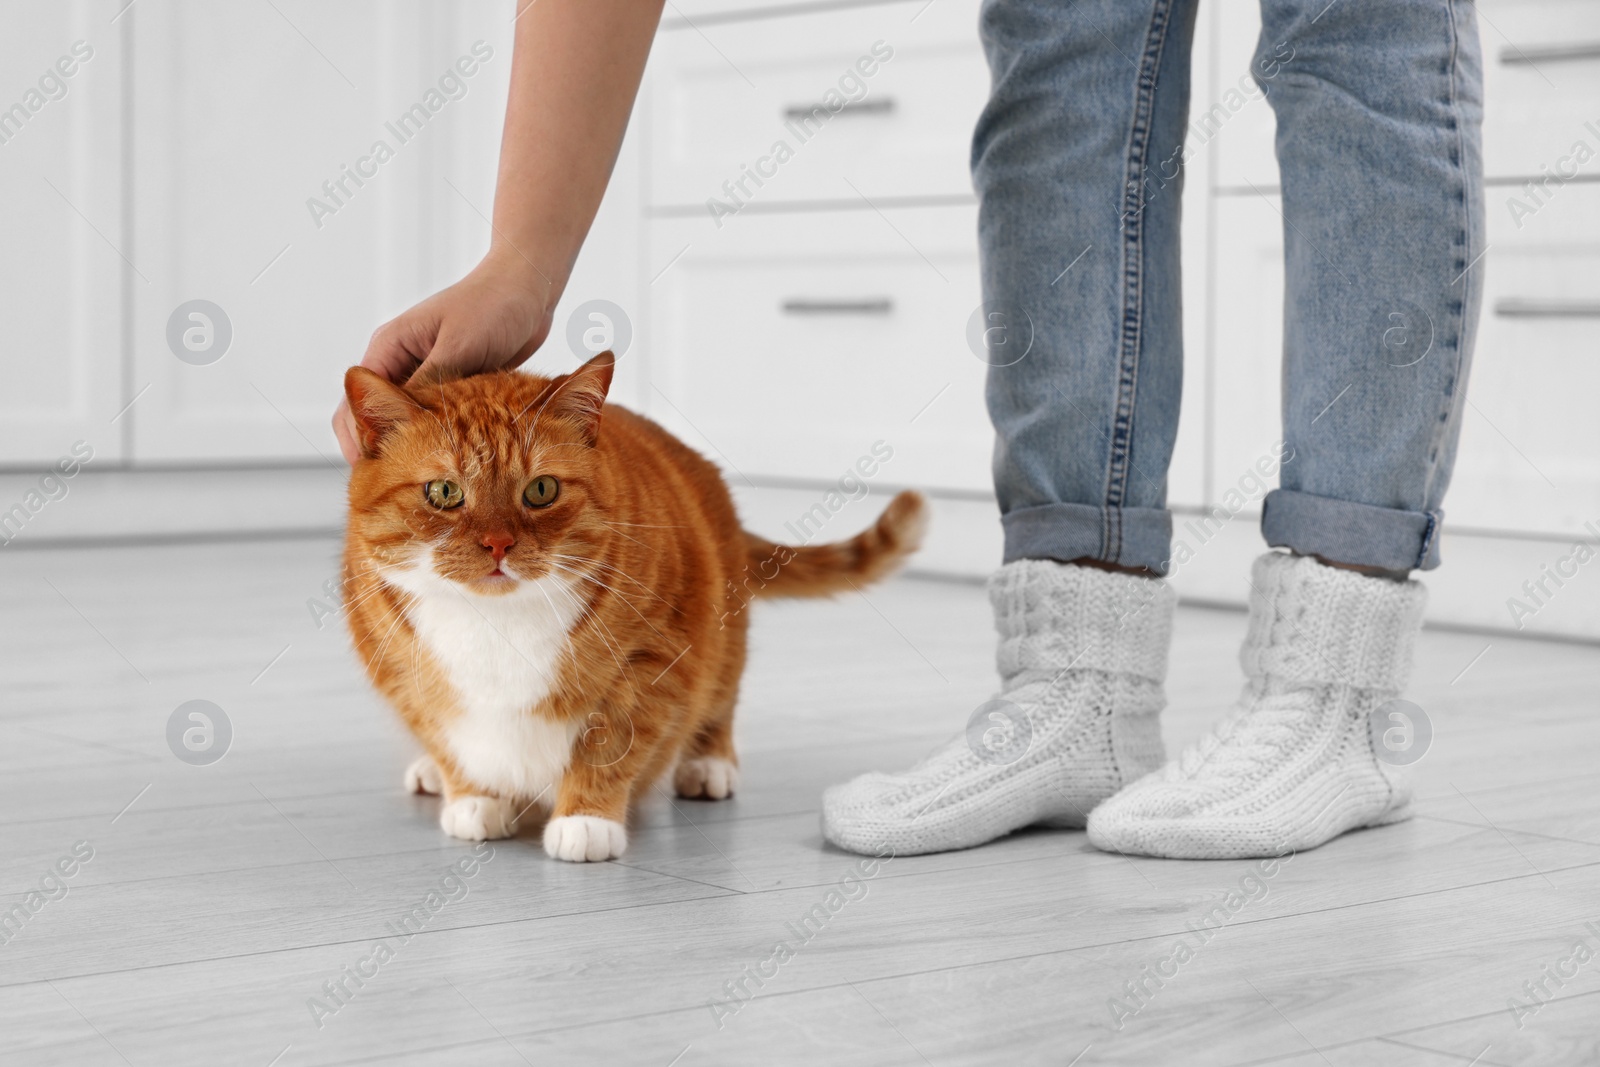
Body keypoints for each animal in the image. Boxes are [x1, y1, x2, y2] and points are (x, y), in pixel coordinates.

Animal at [344, 355, 934, 863]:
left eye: (541, 490)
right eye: (444, 492)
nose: (497, 544)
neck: (496, 625)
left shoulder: (655, 664)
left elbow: (607, 745)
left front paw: (585, 821)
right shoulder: (401, 676)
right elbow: (447, 738)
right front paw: (474, 797)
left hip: (721, 644)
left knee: (720, 700)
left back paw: (708, 764)